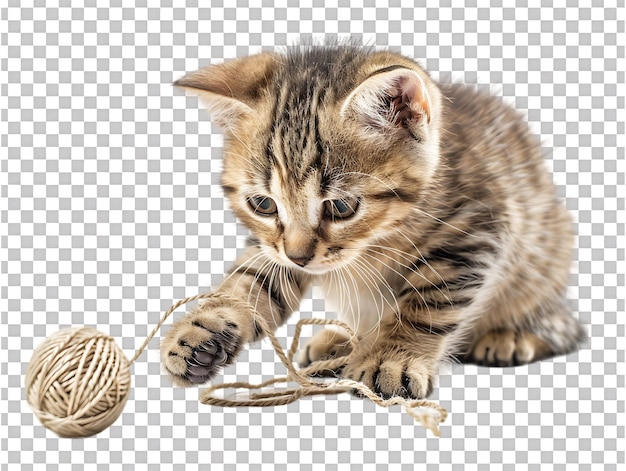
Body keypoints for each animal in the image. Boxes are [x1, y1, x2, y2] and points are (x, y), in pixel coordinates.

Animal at [160, 46, 580, 400]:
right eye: (263, 204)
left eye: (341, 207)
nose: (299, 258)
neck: (374, 242)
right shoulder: (273, 249)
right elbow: (251, 281)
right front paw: (200, 331)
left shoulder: (475, 228)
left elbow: (428, 302)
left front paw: (392, 357)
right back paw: (343, 341)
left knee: (563, 325)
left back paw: (511, 335)